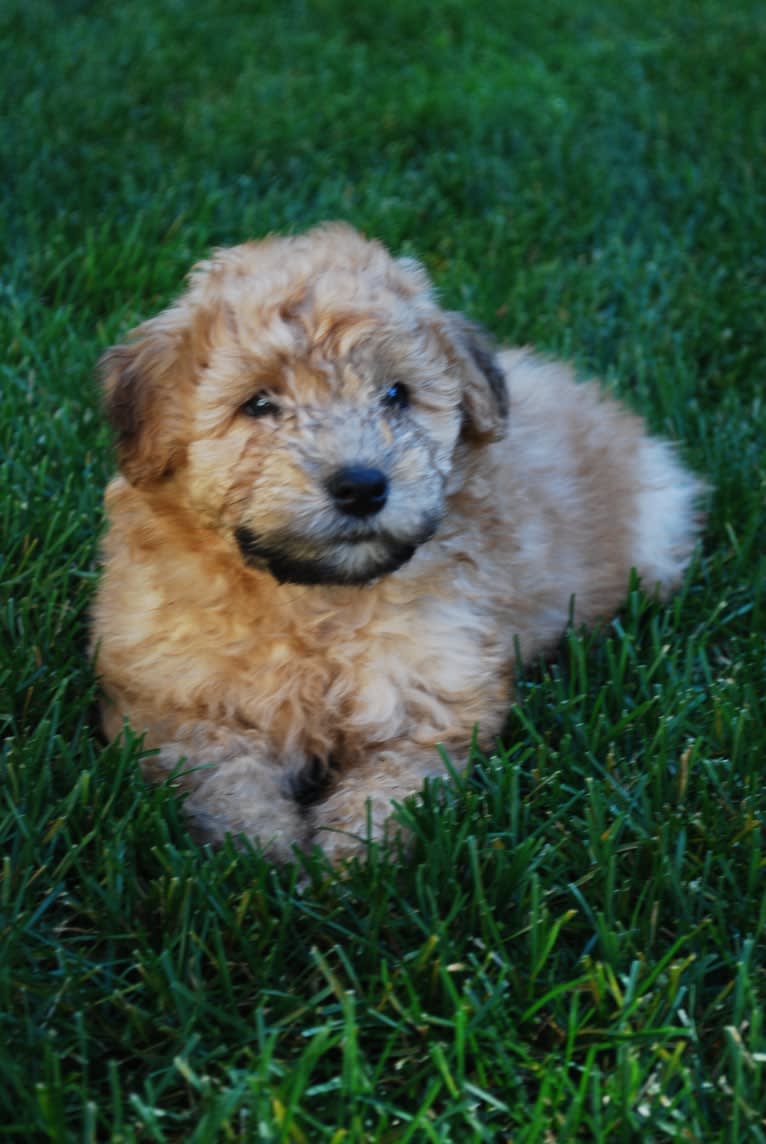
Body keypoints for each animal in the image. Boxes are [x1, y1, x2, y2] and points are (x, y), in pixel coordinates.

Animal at [91, 223, 708, 860]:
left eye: (395, 394)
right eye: (259, 403)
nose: (362, 486)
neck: (315, 603)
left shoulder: (428, 702)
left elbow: (389, 791)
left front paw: (346, 860)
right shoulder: (182, 709)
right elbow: (224, 785)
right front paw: (269, 857)